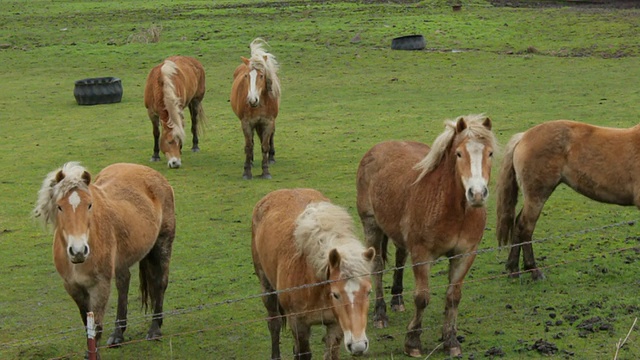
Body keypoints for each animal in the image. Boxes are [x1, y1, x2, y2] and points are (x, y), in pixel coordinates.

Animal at [33, 162, 175, 356]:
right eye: (59, 207)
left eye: (89, 205)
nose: (78, 251)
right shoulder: (73, 287)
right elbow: (87, 324)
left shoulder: (100, 285)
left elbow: (97, 326)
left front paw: (94, 353)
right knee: (124, 285)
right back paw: (117, 335)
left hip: (162, 244)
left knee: (160, 283)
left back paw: (154, 329)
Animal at [230, 38, 280, 180]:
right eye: (246, 76)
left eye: (262, 75)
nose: (252, 100)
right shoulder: (247, 123)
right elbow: (248, 146)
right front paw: (247, 172)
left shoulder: (268, 122)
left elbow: (265, 146)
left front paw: (266, 171)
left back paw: (271, 158)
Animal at [252, 188, 378, 360]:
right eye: (336, 294)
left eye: (369, 292)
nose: (358, 346)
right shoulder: (299, 325)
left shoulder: (336, 325)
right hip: (267, 288)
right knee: (274, 324)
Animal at [358, 115, 498, 358]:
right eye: (458, 154)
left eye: (489, 153)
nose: (477, 194)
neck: (453, 209)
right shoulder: (422, 254)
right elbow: (422, 298)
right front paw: (412, 342)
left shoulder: (465, 254)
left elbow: (453, 297)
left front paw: (450, 340)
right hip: (371, 225)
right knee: (377, 267)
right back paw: (380, 314)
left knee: (400, 260)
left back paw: (397, 300)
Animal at [498, 119, 640, 280]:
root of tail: (523, 137)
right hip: (537, 196)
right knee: (525, 228)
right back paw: (533, 270)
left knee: (517, 224)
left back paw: (513, 269)